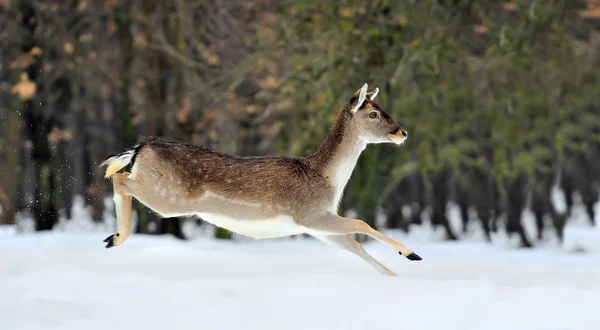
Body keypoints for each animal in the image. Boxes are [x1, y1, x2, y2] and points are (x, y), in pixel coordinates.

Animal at [101, 83, 422, 276]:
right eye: (373, 114)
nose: (402, 132)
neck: (327, 180)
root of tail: (142, 146)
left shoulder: (316, 226)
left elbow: (355, 246)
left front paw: (396, 276)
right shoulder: (310, 214)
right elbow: (361, 223)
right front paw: (411, 254)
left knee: (119, 176)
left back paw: (112, 238)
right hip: (168, 197)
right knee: (119, 178)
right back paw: (116, 237)